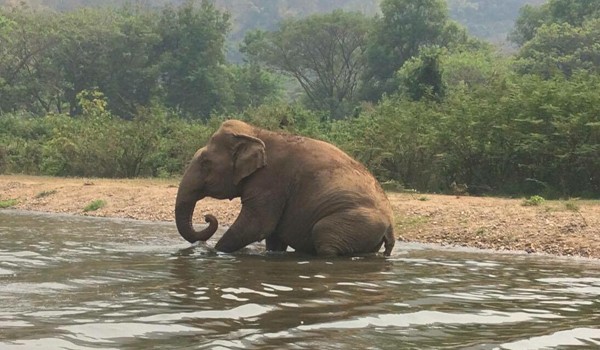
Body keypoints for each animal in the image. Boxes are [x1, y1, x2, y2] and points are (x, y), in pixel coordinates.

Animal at [176, 120, 396, 258]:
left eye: (205, 163)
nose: (207, 217)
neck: (257, 133)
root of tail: (390, 226)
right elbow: (272, 234)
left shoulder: (271, 181)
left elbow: (257, 225)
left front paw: (214, 253)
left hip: (356, 224)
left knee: (324, 234)